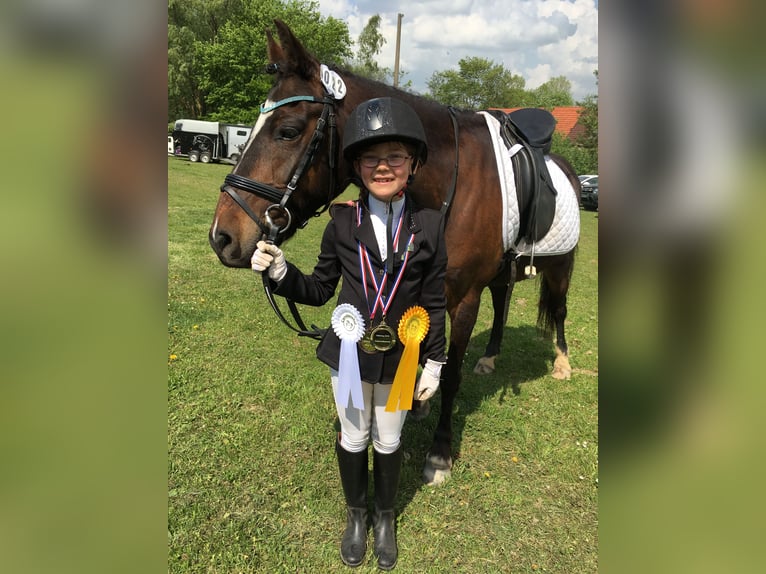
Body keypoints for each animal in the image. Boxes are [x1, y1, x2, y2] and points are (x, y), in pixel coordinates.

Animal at [210, 19, 584, 486]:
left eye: (288, 131)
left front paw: (440, 452)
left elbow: (450, 371)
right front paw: (419, 401)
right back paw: (490, 358)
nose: (222, 236)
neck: (452, 180)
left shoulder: (463, 297)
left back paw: (562, 364)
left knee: (560, 310)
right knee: (503, 304)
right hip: (503, 273)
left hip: (560, 267)